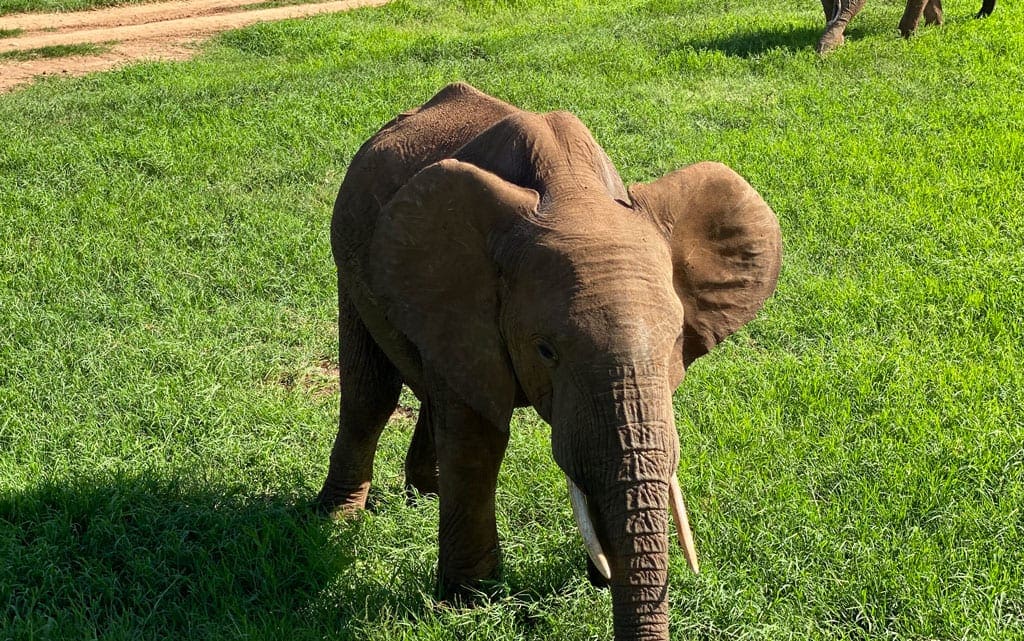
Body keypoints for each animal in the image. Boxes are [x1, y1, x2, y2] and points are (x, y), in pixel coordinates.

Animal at [319, 84, 782, 638]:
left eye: (675, 342)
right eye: (546, 351)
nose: (602, 577)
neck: (573, 192)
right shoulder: (460, 295)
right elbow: (477, 441)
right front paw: (470, 603)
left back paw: (424, 496)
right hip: (351, 262)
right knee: (371, 393)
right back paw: (338, 518)